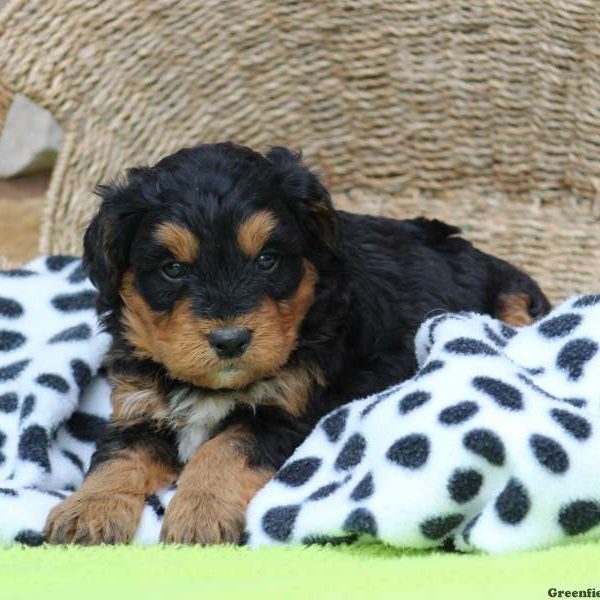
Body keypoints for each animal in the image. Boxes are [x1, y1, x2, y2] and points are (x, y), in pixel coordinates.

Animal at [43, 143, 548, 548]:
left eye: (268, 260)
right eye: (172, 269)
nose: (230, 340)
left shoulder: (290, 410)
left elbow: (224, 448)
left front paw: (200, 513)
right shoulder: (139, 407)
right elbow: (116, 458)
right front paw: (89, 510)